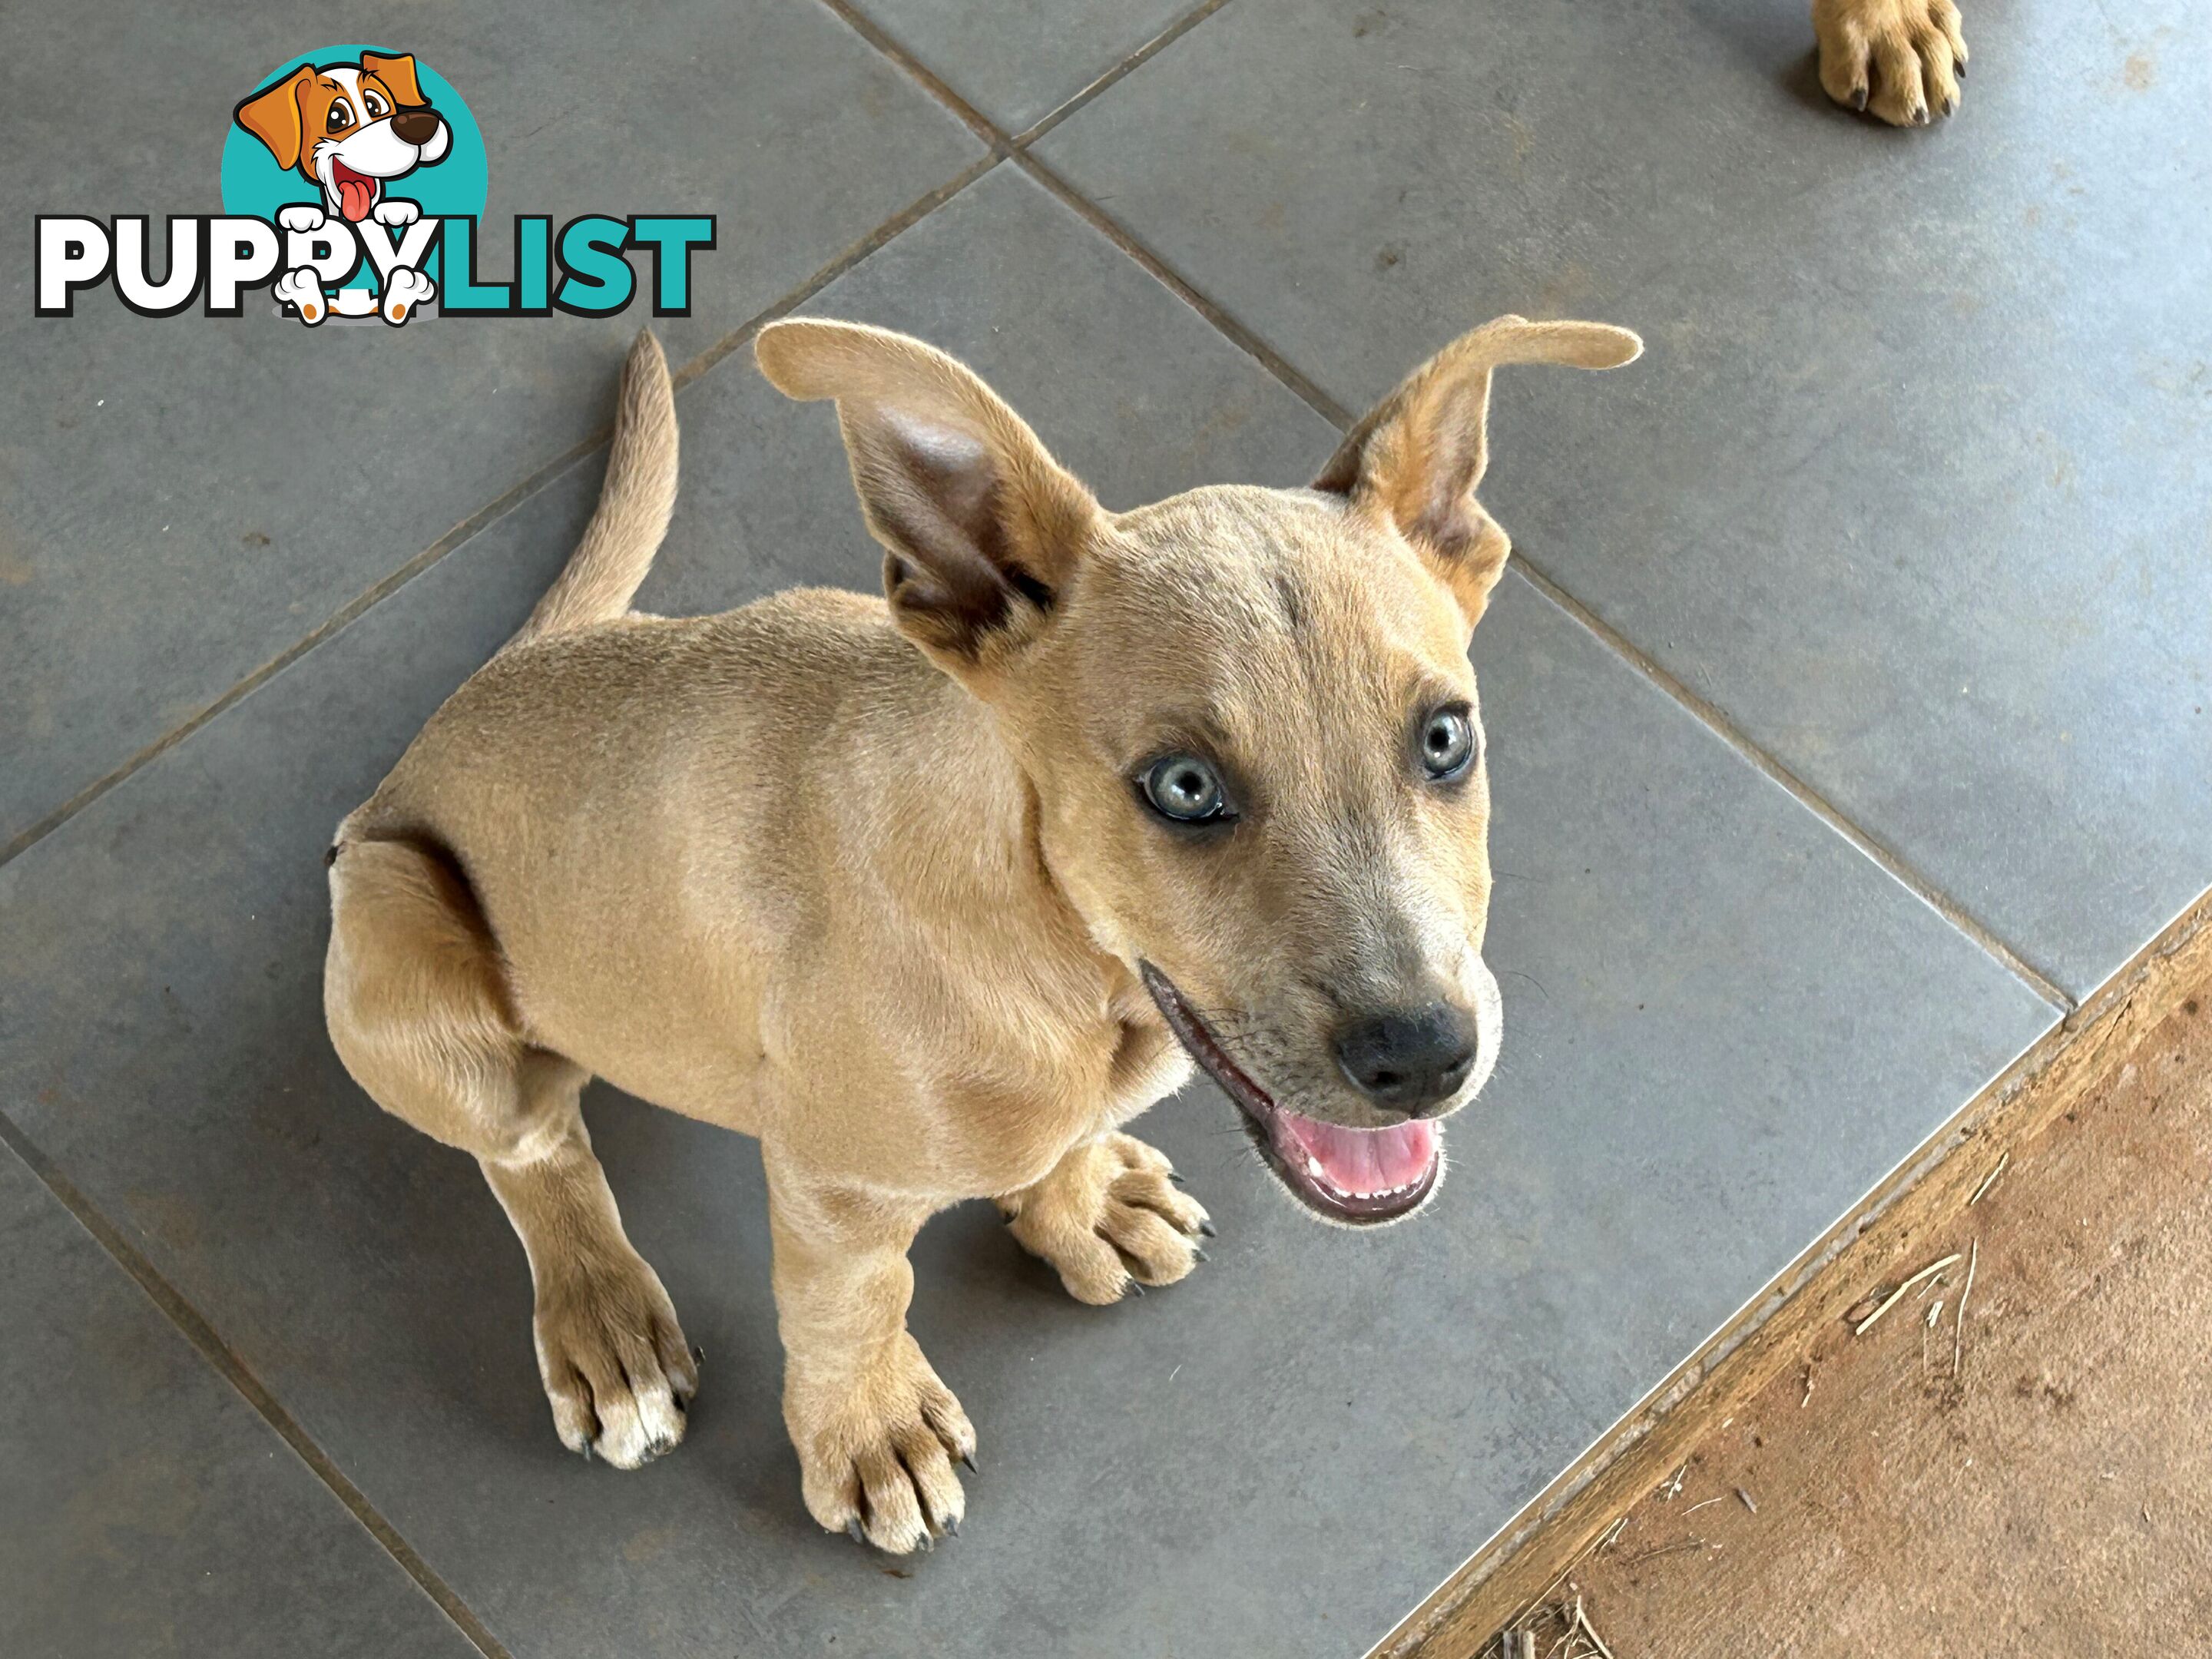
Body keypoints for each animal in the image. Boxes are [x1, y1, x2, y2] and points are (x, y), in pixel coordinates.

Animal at [323, 313, 1645, 1557]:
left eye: (1445, 738)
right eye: (1182, 787)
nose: (1424, 1057)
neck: (1063, 957)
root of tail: (452, 712)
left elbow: (1060, 1142)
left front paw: (1080, 1200)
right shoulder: (834, 1188)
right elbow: (852, 1307)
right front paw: (870, 1433)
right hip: (396, 933)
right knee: (535, 1146)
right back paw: (606, 1323)